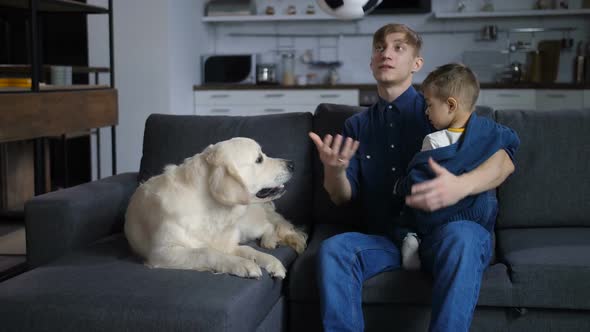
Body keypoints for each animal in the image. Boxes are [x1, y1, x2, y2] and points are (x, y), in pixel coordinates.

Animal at [125, 136, 310, 278]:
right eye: (259, 159)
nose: (292, 164)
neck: (210, 208)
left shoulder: (228, 243)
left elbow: (249, 250)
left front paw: (271, 261)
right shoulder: (163, 252)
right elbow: (207, 252)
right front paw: (244, 264)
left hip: (247, 226)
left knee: (268, 226)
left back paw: (269, 241)